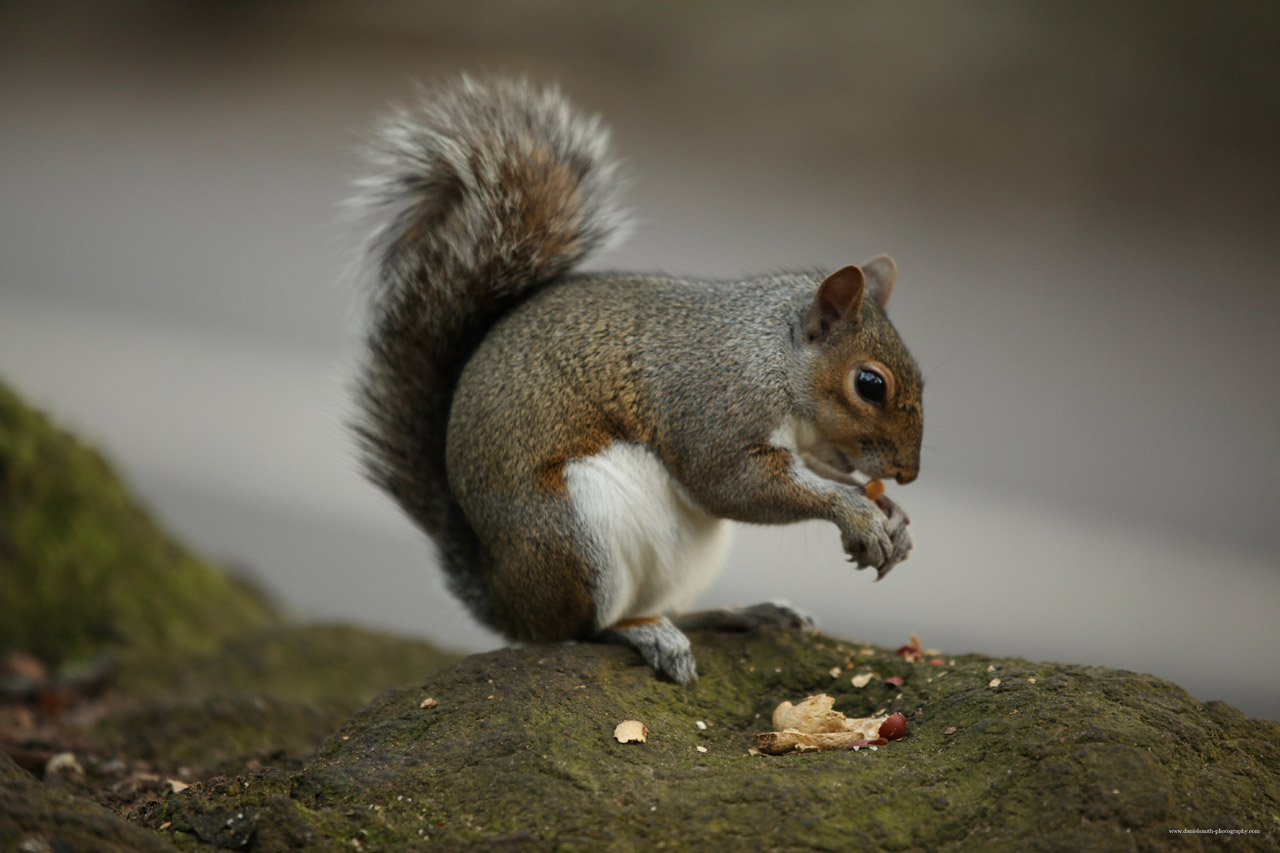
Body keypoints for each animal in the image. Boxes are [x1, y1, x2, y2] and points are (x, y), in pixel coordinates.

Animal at [355, 76, 926, 681]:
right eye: (870, 384)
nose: (907, 473)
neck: (770, 355)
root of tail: (505, 599)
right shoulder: (714, 406)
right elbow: (733, 485)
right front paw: (857, 512)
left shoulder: (805, 441)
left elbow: (818, 469)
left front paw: (893, 516)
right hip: (572, 537)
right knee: (584, 628)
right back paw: (645, 633)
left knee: (669, 606)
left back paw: (742, 612)